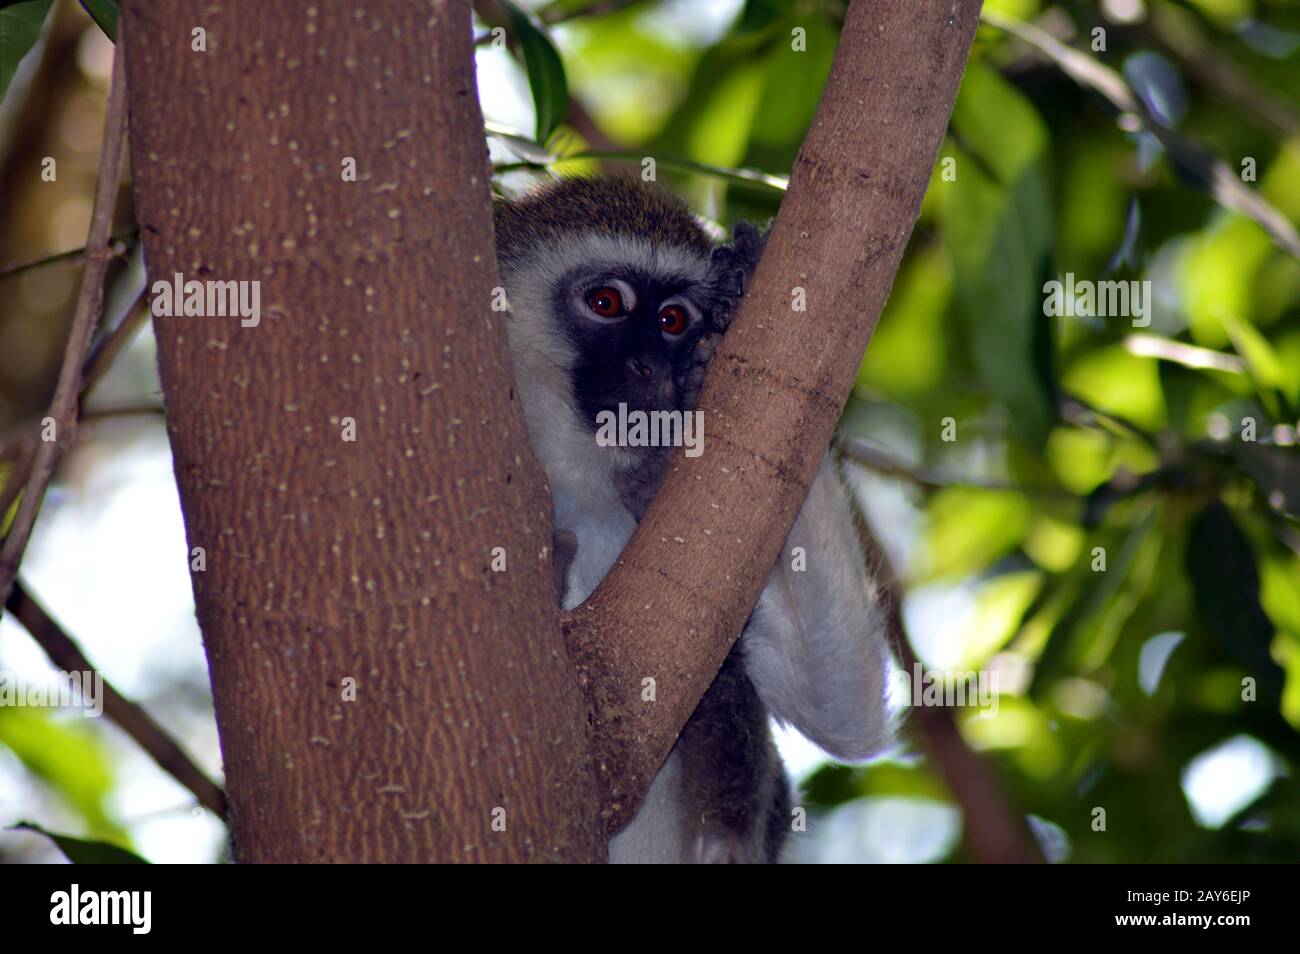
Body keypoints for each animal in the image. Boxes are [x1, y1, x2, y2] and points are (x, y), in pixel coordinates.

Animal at [494, 175, 893, 863]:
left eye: (673, 321)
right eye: (606, 302)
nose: (651, 369)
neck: (580, 482)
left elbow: (846, 715)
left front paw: (743, 292)